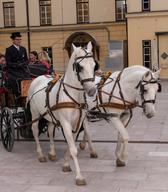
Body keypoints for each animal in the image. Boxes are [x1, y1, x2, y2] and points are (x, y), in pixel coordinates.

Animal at [26, 41, 96, 184]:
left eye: (93, 65)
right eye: (79, 67)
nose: (92, 90)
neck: (74, 95)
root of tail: (37, 78)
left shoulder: (77, 124)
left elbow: (71, 144)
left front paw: (66, 164)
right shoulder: (66, 123)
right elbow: (73, 149)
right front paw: (79, 176)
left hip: (49, 114)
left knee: (50, 128)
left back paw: (52, 153)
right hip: (35, 113)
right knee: (35, 130)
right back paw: (40, 154)